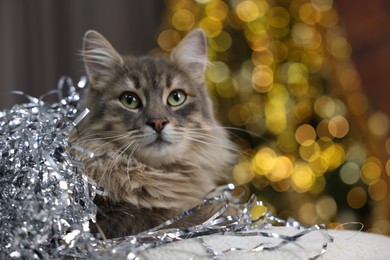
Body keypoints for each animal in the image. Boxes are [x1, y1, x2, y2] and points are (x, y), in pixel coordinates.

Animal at [69, 27, 235, 238]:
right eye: (129, 100)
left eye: (176, 97)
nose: (158, 122)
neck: (155, 175)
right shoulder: (111, 220)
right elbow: (179, 218)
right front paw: (226, 210)